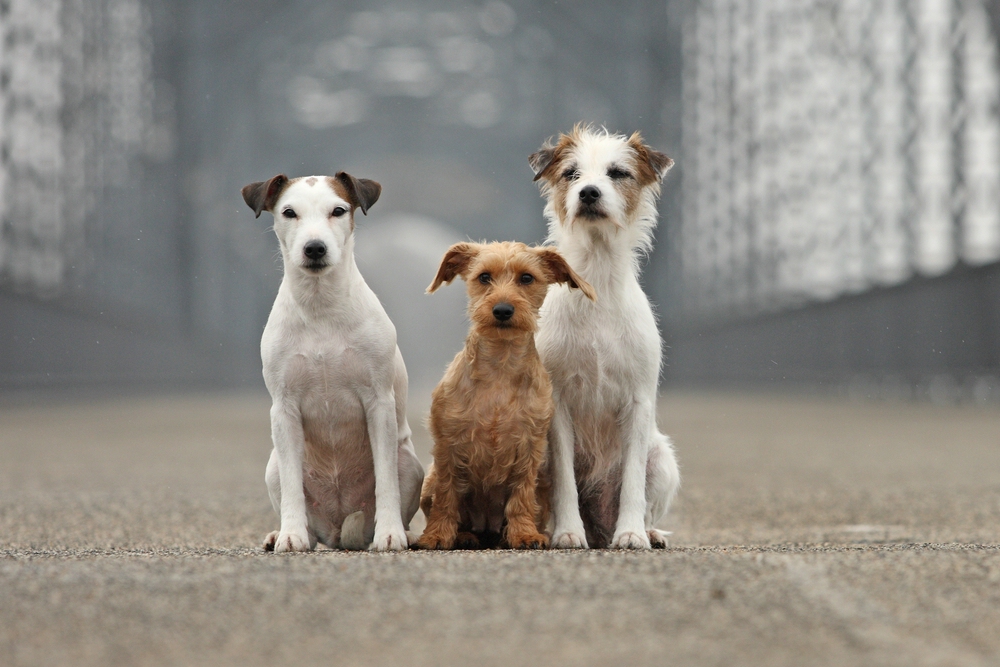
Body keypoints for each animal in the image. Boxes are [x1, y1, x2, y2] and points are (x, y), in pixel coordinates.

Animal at [241, 172, 422, 552]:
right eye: (289, 212)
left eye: (338, 210)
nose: (315, 248)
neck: (320, 307)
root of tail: (338, 529)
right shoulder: (284, 408)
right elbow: (293, 486)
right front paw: (291, 535)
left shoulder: (379, 402)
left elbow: (385, 480)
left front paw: (389, 533)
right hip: (273, 466)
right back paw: (286, 533)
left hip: (411, 465)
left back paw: (406, 532)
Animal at [414, 243, 592, 552]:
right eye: (484, 277)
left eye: (527, 278)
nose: (502, 310)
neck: (501, 363)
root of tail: (487, 528)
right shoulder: (448, 445)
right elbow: (447, 495)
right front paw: (437, 535)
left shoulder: (531, 447)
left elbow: (521, 496)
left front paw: (525, 534)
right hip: (430, 479)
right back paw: (464, 535)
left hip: (545, 481)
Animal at [528, 128, 684, 552]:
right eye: (571, 173)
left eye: (617, 173)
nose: (589, 193)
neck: (596, 279)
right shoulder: (558, 403)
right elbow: (564, 480)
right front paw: (567, 532)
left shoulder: (638, 402)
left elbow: (632, 482)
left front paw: (631, 533)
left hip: (663, 459)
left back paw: (647, 531)